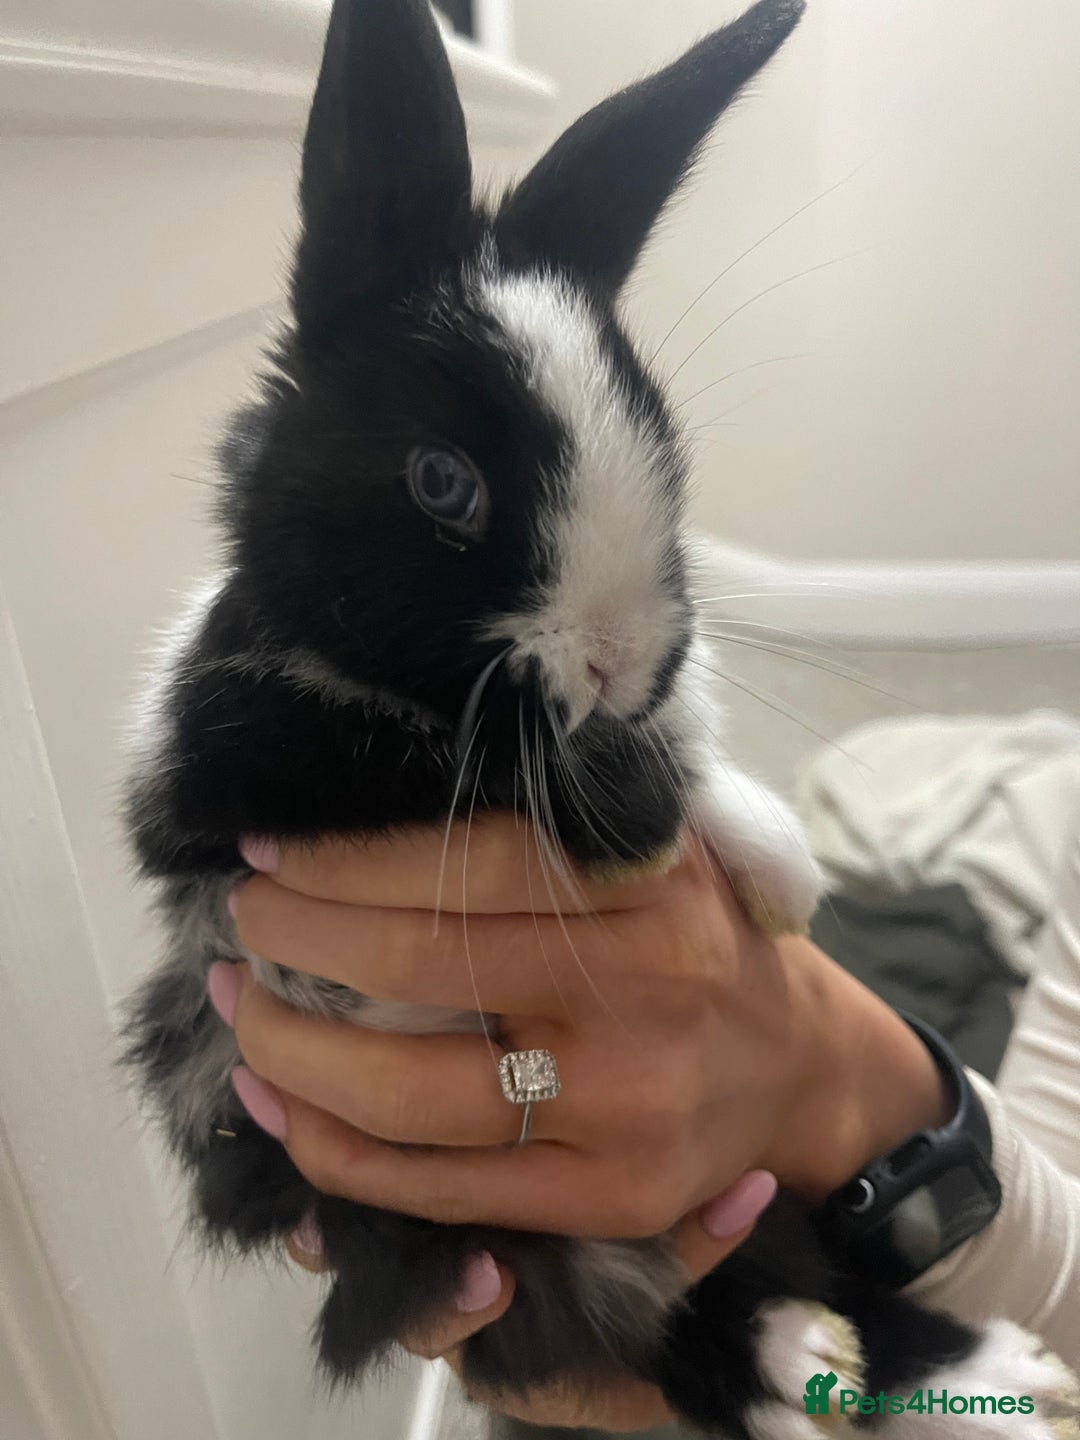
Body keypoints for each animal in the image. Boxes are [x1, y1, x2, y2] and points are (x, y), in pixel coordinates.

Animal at [121, 0, 1079, 1434]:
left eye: (661, 438)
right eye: (443, 482)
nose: (626, 659)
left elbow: (678, 753)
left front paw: (779, 872)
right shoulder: (243, 768)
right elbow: (493, 754)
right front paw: (649, 822)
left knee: (788, 1270)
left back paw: (968, 1362)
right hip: (488, 1244)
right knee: (687, 1327)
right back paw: (813, 1368)